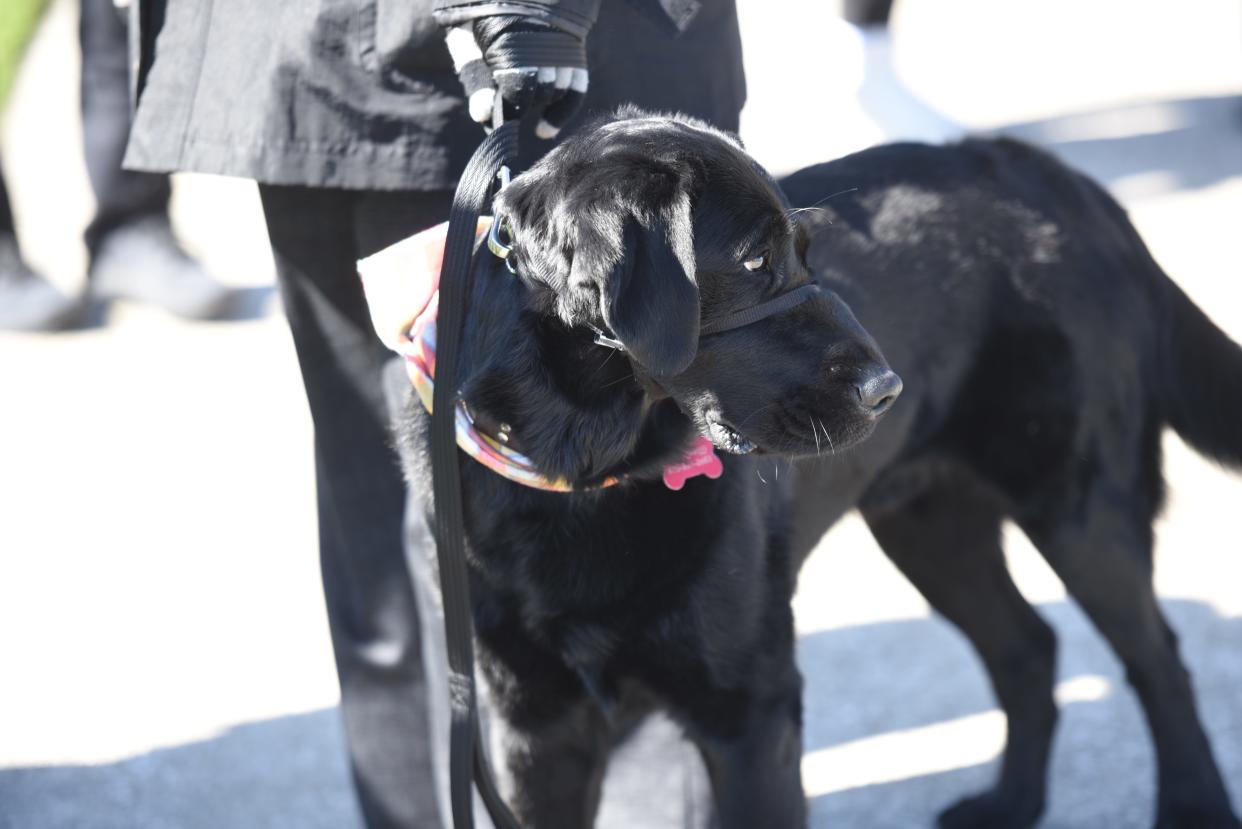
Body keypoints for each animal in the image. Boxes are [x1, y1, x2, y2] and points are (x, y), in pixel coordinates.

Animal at [394, 111, 1242, 829]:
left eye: (807, 250)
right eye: (754, 260)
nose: (886, 389)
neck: (586, 472)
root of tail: (1057, 175)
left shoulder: (751, 708)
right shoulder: (533, 730)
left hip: (1077, 507)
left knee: (1158, 657)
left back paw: (1194, 804)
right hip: (931, 526)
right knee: (1028, 647)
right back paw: (1011, 804)